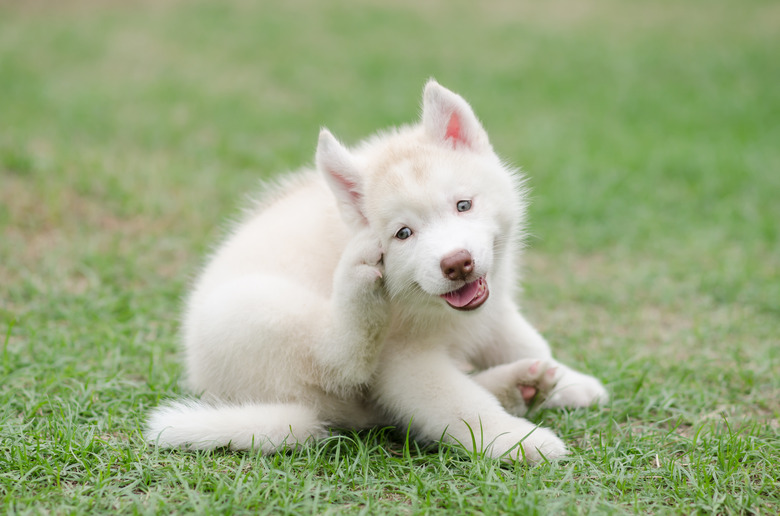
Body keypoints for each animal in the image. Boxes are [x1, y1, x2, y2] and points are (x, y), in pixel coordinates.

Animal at [148, 81, 608, 464]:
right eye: (403, 234)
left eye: (463, 205)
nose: (457, 263)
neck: (431, 309)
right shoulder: (404, 361)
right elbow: (460, 405)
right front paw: (518, 440)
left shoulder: (492, 308)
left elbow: (526, 341)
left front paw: (569, 380)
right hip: (254, 309)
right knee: (340, 362)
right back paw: (358, 287)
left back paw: (520, 386)